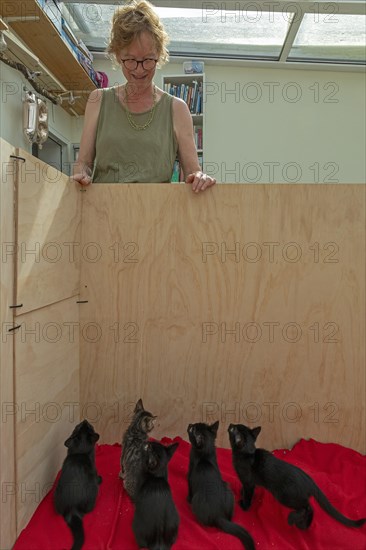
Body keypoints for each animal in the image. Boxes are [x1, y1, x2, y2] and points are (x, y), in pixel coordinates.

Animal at [53, 420, 101, 548]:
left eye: (77, 426)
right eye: (90, 426)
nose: (85, 420)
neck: (80, 453)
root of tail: (72, 509)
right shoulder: (94, 468)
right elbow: (97, 477)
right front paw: (100, 479)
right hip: (93, 493)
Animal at [189, 422, 254, 550]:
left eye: (193, 429)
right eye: (194, 425)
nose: (190, 424)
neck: (205, 454)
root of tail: (219, 516)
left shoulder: (190, 473)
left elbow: (189, 489)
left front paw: (187, 500)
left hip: (197, 499)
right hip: (228, 490)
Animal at [229, 424, 366, 532]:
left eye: (233, 429)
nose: (230, 424)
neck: (248, 453)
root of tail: (310, 481)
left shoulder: (248, 482)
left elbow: (248, 494)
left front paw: (244, 505)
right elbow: (244, 490)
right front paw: (241, 493)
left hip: (285, 496)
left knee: (307, 507)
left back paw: (294, 520)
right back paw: (305, 525)